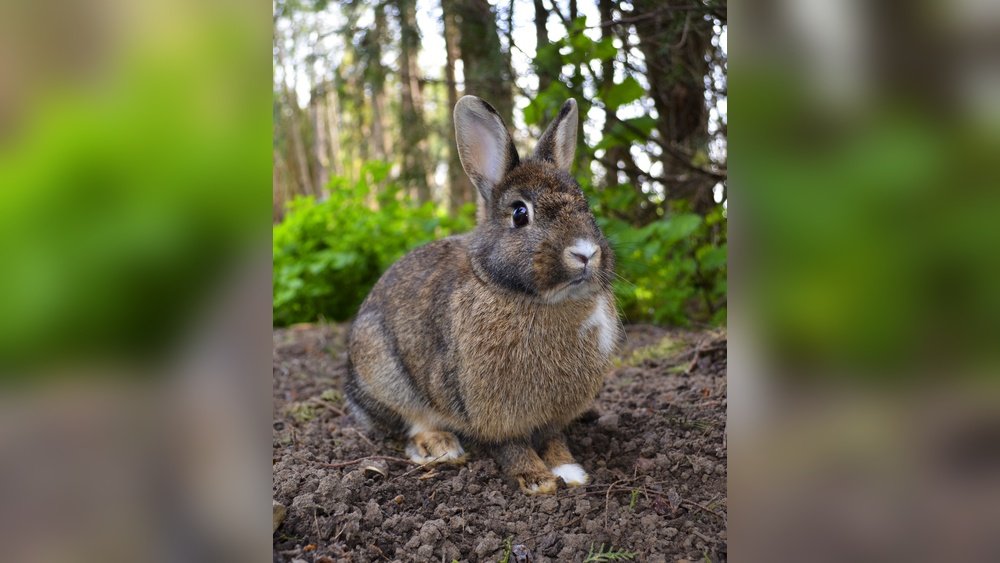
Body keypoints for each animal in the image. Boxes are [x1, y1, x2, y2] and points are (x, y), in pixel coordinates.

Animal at [344, 95, 621, 494]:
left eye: (587, 207)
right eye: (520, 213)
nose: (585, 252)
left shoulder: (554, 416)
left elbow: (553, 439)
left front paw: (569, 470)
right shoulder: (491, 411)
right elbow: (511, 445)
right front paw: (537, 480)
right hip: (382, 370)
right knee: (410, 422)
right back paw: (440, 447)